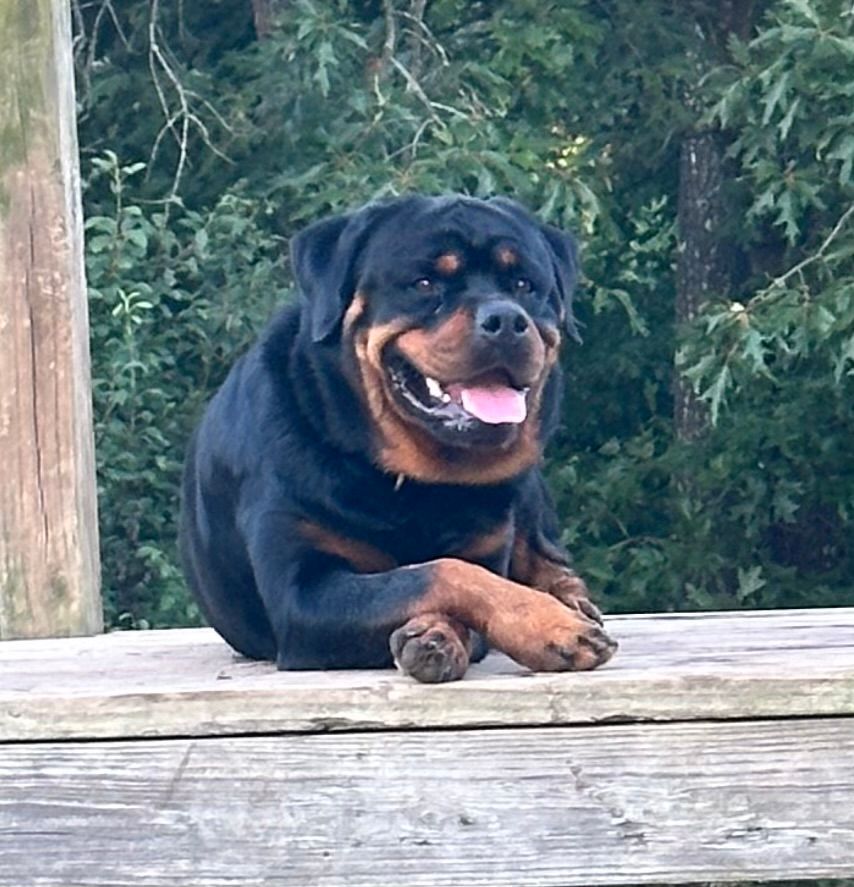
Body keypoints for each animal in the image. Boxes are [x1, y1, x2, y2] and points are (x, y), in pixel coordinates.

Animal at [179, 195, 617, 682]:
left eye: (524, 284)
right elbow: (437, 573)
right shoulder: (302, 595)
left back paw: (570, 598)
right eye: (424, 283)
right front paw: (543, 625)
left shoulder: (486, 549)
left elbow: (461, 575)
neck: (412, 485)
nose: (505, 318)